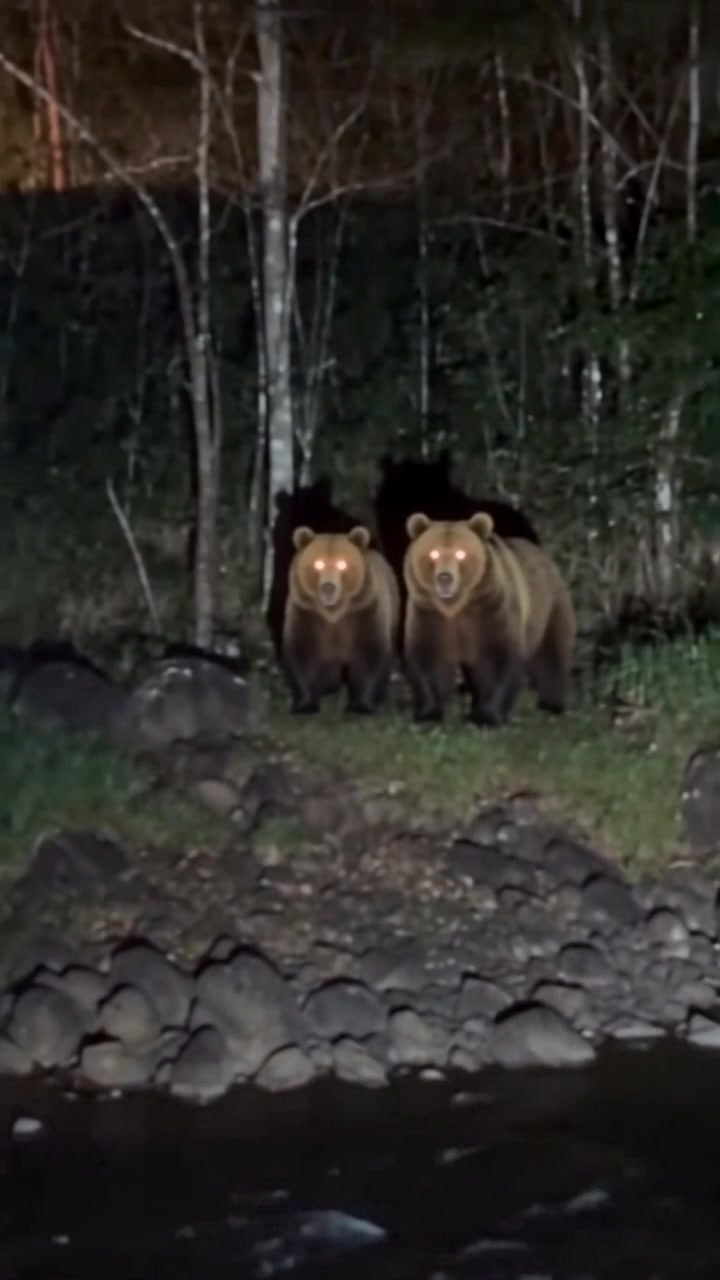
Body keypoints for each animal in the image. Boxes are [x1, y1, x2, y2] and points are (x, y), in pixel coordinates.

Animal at [282, 525, 400, 715]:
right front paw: (305, 704)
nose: (328, 587)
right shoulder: (305, 611)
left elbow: (369, 651)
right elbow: (302, 650)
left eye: (342, 564)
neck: (334, 612)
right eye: (318, 563)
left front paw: (361, 705)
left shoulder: (366, 609)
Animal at [403, 511, 575, 727]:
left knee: (550, 655)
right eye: (433, 553)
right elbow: (428, 658)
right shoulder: (428, 613)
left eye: (461, 553)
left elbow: (499, 657)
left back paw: (551, 703)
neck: (457, 606)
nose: (444, 578)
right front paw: (429, 713)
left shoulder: (491, 611)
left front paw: (488, 716)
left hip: (548, 608)